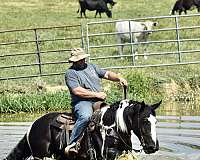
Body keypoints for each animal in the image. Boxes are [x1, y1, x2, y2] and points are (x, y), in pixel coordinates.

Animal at [3, 99, 162, 159]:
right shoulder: (106, 154)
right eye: (144, 120)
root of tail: (33, 126)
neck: (112, 127)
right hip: (40, 156)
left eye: (155, 121)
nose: (153, 147)